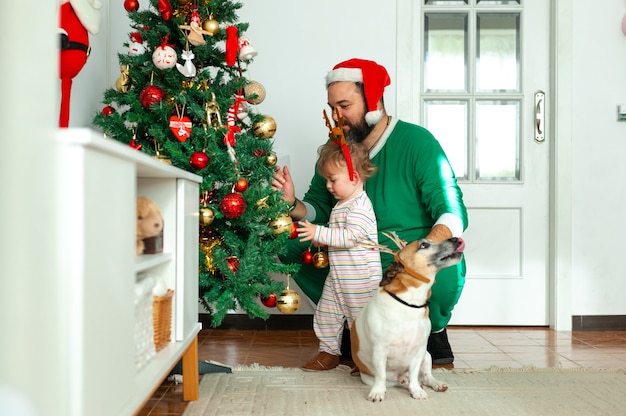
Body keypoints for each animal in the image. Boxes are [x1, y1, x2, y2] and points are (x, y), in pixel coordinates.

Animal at [352, 236, 464, 402]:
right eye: (424, 245)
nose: (456, 238)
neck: (409, 303)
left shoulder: (419, 351)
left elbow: (415, 375)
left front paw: (416, 390)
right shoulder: (380, 350)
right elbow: (381, 375)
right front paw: (378, 392)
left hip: (427, 356)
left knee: (425, 376)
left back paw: (435, 384)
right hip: (368, 377)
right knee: (397, 381)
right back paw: (402, 382)